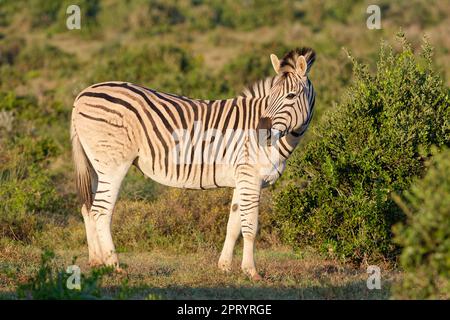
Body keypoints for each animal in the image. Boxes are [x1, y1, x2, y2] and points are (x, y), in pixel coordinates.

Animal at [71, 47, 316, 280]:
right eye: (271, 96)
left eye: (291, 96)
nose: (259, 131)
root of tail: (82, 94)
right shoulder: (250, 177)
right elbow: (250, 227)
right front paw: (251, 271)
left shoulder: (242, 178)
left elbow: (233, 224)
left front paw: (224, 267)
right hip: (113, 164)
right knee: (101, 211)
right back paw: (114, 265)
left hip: (96, 165)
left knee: (88, 208)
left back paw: (97, 262)